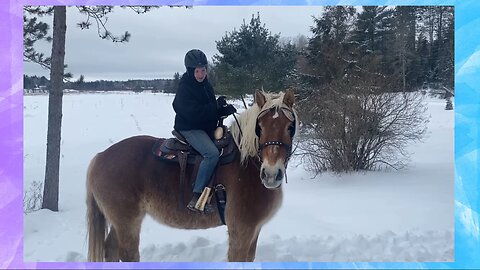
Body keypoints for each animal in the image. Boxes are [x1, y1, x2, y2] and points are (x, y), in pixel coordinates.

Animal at [86, 88, 296, 262]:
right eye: (259, 127)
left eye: (290, 127)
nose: (271, 174)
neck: (247, 163)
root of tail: (100, 156)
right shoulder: (241, 231)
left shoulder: (254, 231)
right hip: (127, 221)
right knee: (127, 254)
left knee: (110, 250)